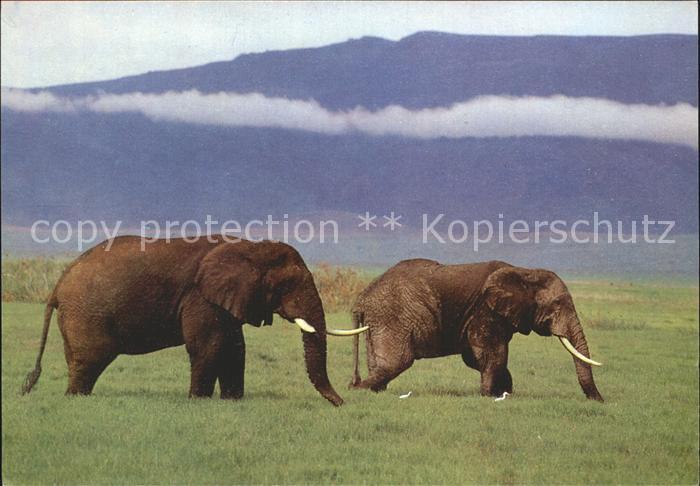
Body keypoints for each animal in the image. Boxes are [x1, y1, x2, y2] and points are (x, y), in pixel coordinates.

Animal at [21, 236, 366, 406]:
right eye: (286, 286)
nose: (343, 402)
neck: (251, 246)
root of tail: (57, 285)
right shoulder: (201, 295)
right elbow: (210, 346)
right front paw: (198, 402)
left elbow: (234, 347)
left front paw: (232, 402)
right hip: (86, 314)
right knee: (90, 360)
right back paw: (76, 398)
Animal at [349, 259, 603, 401]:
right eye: (558, 304)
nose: (599, 400)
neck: (524, 272)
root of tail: (362, 299)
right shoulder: (485, 310)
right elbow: (492, 354)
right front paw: (490, 396)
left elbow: (477, 357)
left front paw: (504, 394)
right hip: (393, 317)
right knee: (398, 362)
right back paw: (357, 390)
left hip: (379, 320)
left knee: (382, 364)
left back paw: (372, 391)